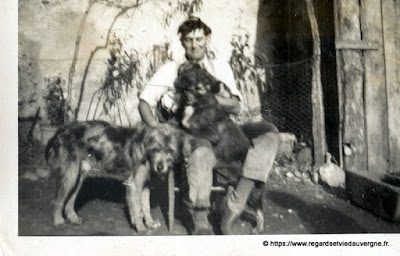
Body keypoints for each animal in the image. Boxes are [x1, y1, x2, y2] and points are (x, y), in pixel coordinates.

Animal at [45, 121, 180, 233]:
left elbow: (146, 206)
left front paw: (150, 223)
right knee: (58, 200)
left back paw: (73, 218)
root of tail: (61, 131)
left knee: (69, 201)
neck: (145, 149)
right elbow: (138, 209)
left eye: (169, 151)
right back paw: (58, 220)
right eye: (156, 149)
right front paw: (141, 228)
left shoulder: (145, 185)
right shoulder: (134, 185)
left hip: (78, 177)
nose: (160, 167)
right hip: (70, 176)